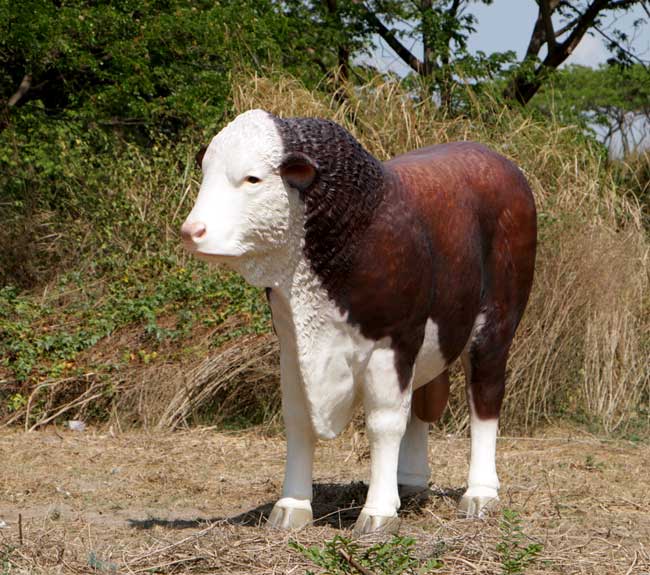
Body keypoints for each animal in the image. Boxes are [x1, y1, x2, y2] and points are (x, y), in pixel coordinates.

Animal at [180, 109, 537, 534]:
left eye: (253, 178)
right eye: (206, 171)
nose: (191, 231)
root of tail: (495, 158)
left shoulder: (392, 341)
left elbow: (384, 423)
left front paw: (378, 512)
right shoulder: (293, 343)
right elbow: (297, 418)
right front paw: (291, 506)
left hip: (496, 322)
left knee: (485, 398)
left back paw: (480, 493)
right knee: (421, 405)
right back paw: (410, 483)